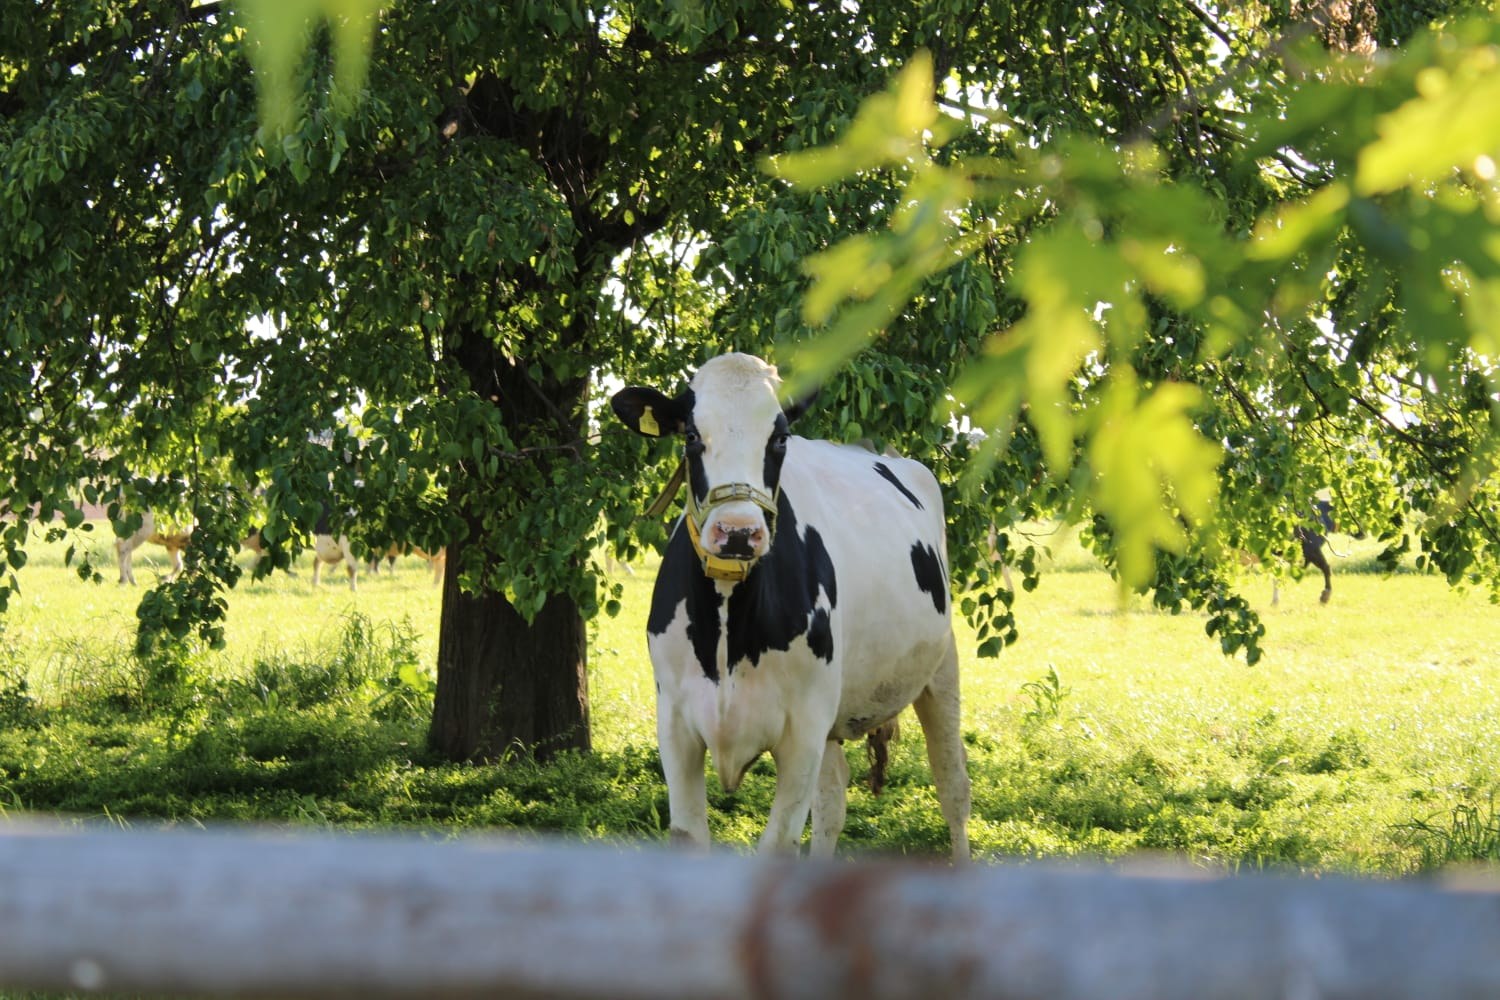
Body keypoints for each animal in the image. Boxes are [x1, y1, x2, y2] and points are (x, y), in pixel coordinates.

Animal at [611, 353, 970, 859]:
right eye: (691, 436)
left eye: (779, 437)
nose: (738, 532)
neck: (729, 627)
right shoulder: (676, 726)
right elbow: (689, 838)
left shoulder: (803, 732)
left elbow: (779, 847)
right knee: (833, 802)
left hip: (940, 669)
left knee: (952, 786)